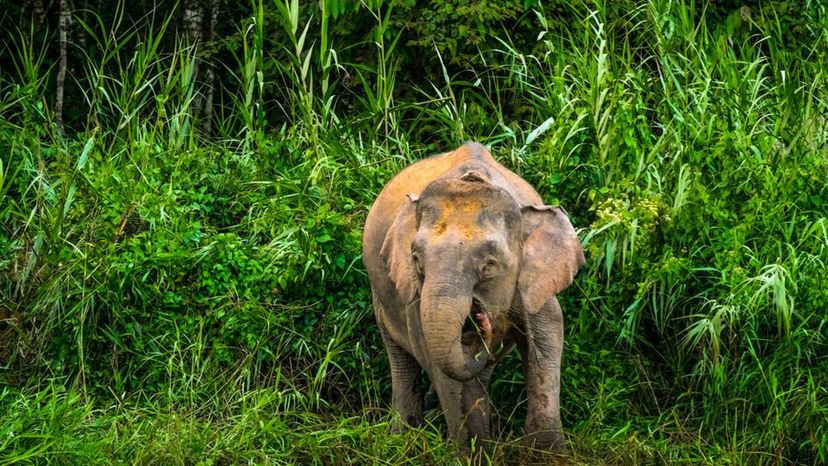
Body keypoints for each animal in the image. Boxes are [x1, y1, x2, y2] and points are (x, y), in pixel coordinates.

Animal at [360, 142, 584, 456]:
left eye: (490, 265)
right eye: (416, 260)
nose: (479, 317)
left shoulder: (532, 281)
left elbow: (547, 337)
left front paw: (549, 454)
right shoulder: (416, 296)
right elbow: (439, 361)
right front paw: (474, 455)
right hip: (380, 297)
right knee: (402, 361)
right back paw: (402, 442)